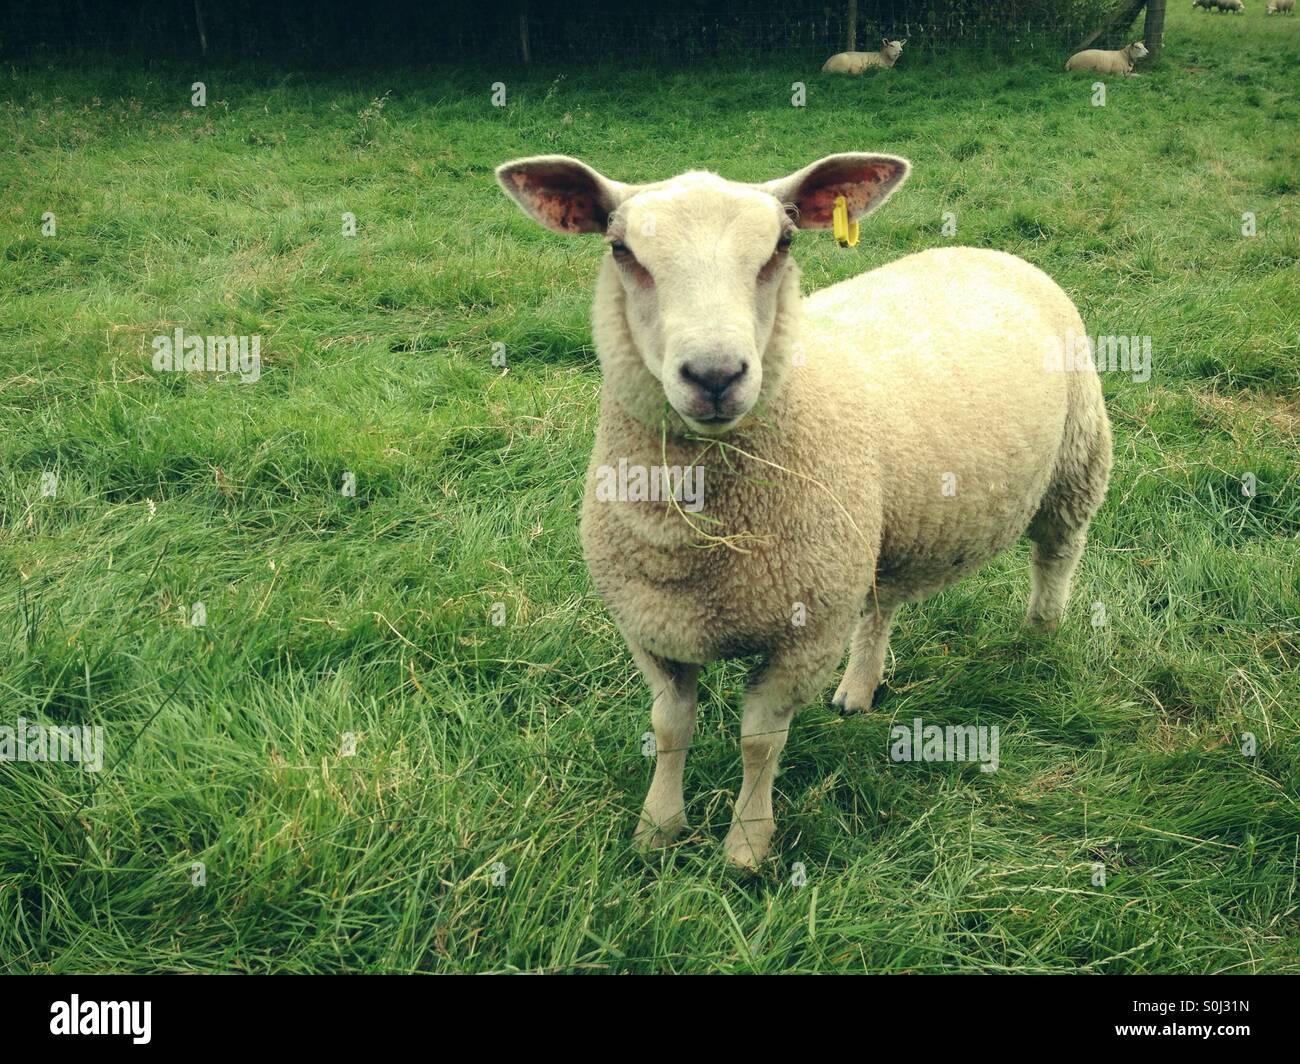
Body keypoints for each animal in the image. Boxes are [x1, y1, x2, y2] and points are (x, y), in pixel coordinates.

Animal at [496, 152, 1112, 868]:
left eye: (781, 246)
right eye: (621, 250)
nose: (714, 375)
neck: (698, 542)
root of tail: (986, 250)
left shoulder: (803, 635)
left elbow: (760, 743)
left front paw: (745, 847)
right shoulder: (654, 628)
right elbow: (669, 728)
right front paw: (657, 831)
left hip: (1076, 459)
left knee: (1056, 553)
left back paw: (1040, 635)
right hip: (875, 533)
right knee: (882, 603)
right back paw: (859, 689)